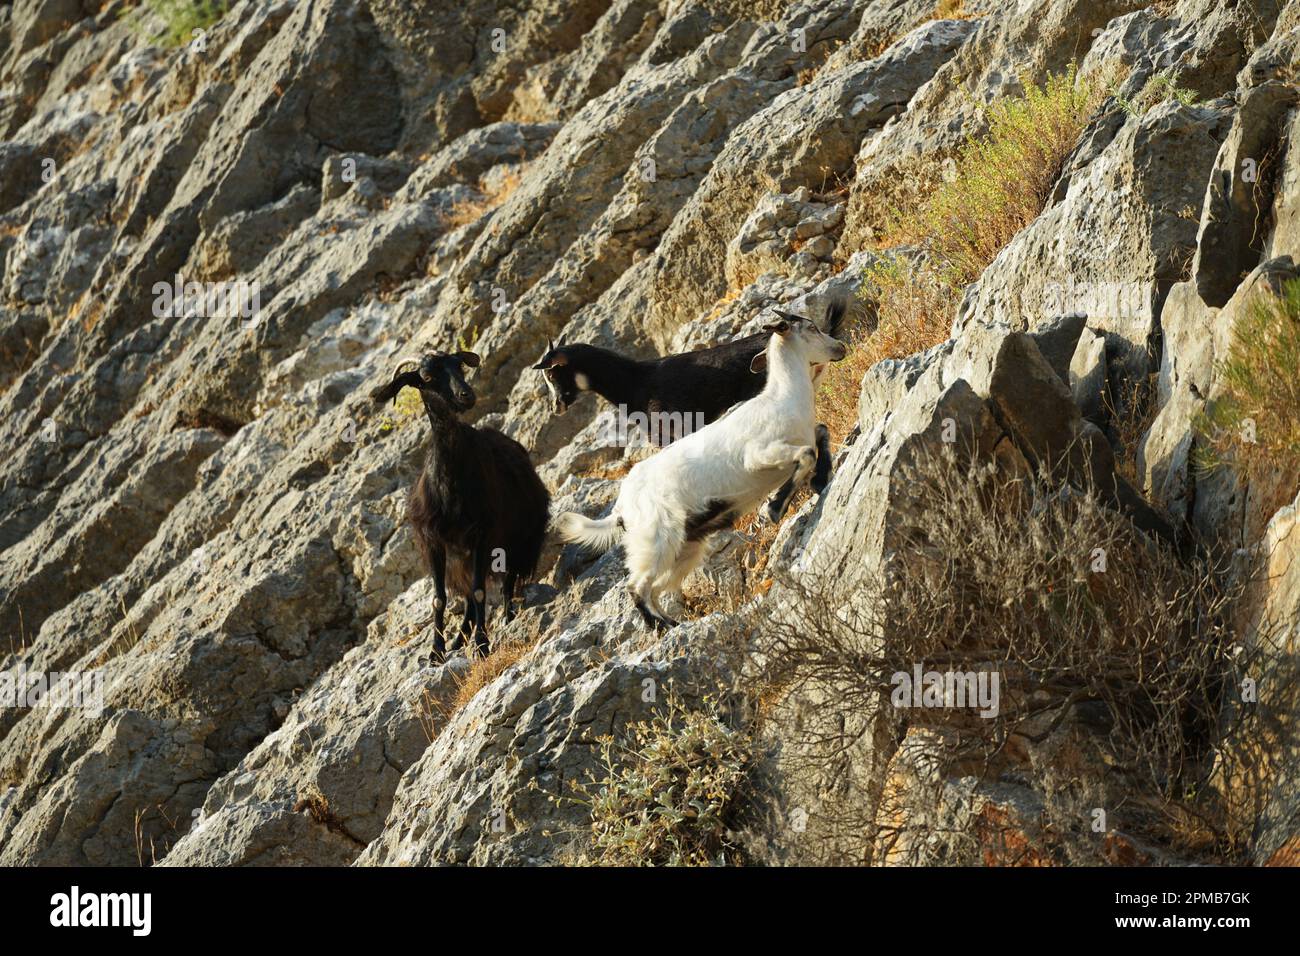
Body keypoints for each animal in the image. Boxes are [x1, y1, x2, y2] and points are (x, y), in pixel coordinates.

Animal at [373, 351, 549, 657]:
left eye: (459, 367)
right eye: (427, 376)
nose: (466, 395)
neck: (449, 483)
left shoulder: (482, 533)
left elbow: (479, 590)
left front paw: (482, 644)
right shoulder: (433, 540)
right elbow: (439, 598)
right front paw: (436, 652)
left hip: (519, 536)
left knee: (507, 580)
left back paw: (506, 616)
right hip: (463, 556)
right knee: (467, 593)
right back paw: (459, 638)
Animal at [555, 309, 846, 628]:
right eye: (811, 328)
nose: (840, 347)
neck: (782, 398)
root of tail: (621, 508)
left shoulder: (803, 437)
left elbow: (821, 433)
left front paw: (820, 480)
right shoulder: (757, 455)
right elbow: (806, 455)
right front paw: (775, 507)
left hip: (685, 545)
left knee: (657, 587)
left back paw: (672, 624)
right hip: (656, 539)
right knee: (637, 587)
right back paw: (662, 627)